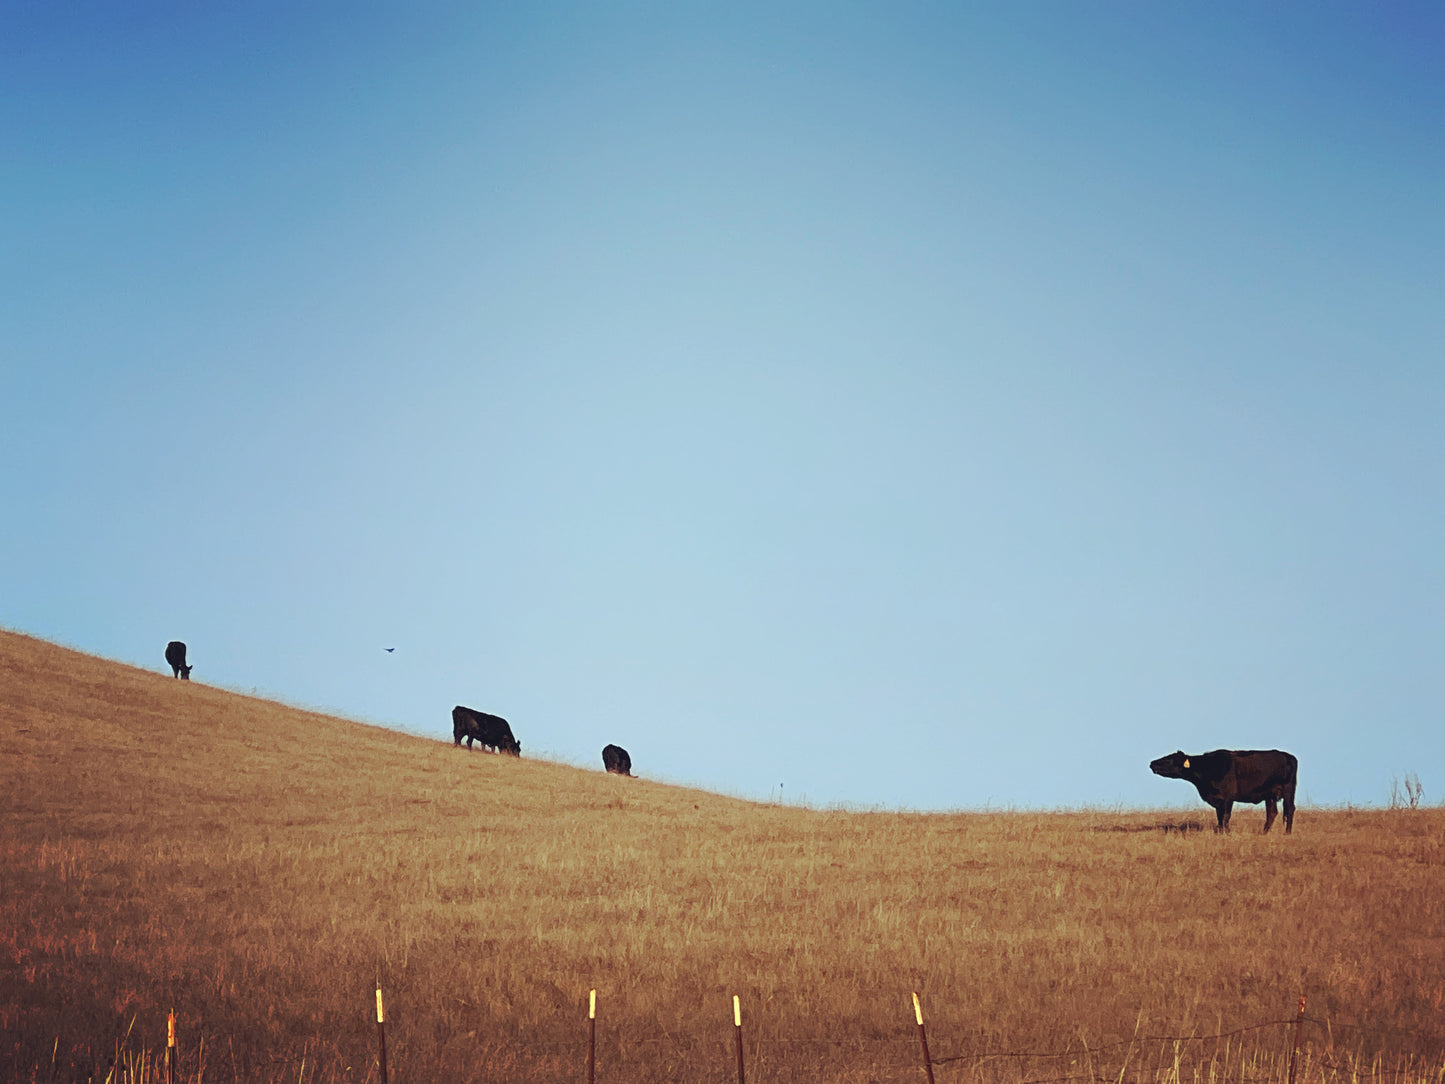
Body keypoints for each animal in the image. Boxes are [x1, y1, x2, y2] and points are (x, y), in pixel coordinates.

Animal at [1149, 749, 1297, 834]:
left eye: (1169, 760)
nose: (1152, 763)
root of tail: (1289, 756)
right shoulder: (1218, 800)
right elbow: (1219, 817)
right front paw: (1220, 832)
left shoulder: (1227, 798)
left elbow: (1226, 816)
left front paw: (1226, 832)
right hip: (1270, 794)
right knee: (1272, 812)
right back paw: (1264, 832)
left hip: (1288, 790)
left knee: (1289, 809)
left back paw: (1287, 832)